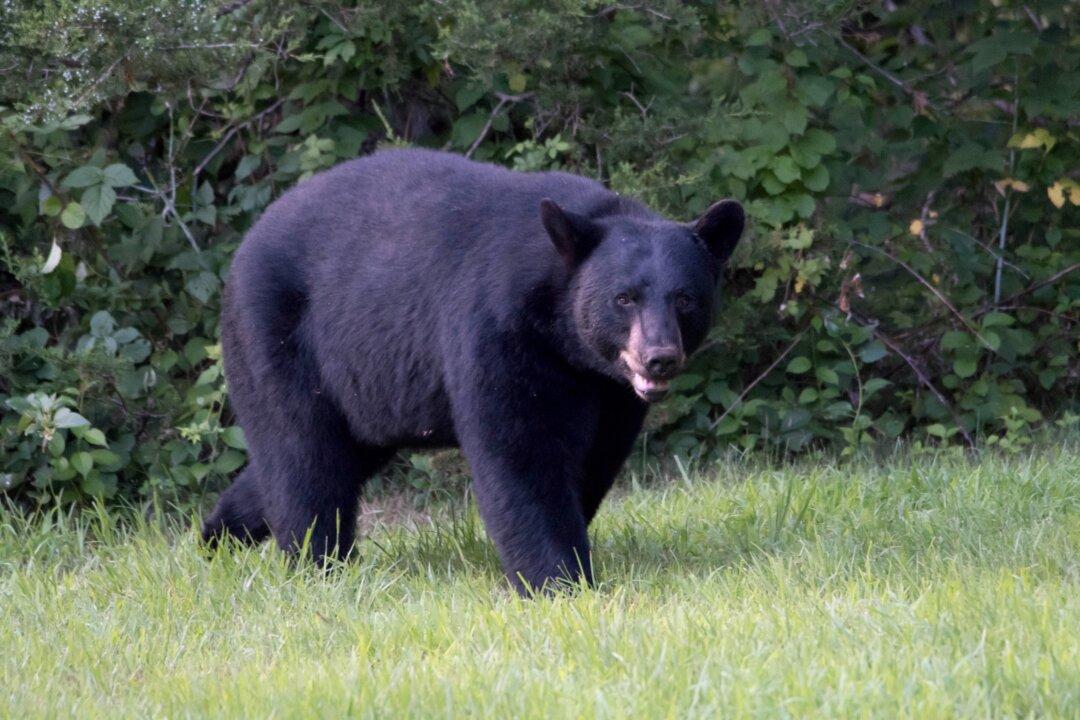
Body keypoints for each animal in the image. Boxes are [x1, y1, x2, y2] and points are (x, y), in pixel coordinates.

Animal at [201, 147, 744, 594]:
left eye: (685, 298)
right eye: (624, 298)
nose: (660, 356)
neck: (562, 336)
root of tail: (246, 244)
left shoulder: (609, 391)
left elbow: (595, 456)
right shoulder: (497, 327)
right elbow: (519, 450)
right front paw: (559, 580)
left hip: (365, 391)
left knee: (315, 459)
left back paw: (217, 538)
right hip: (279, 334)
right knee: (302, 454)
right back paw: (318, 565)